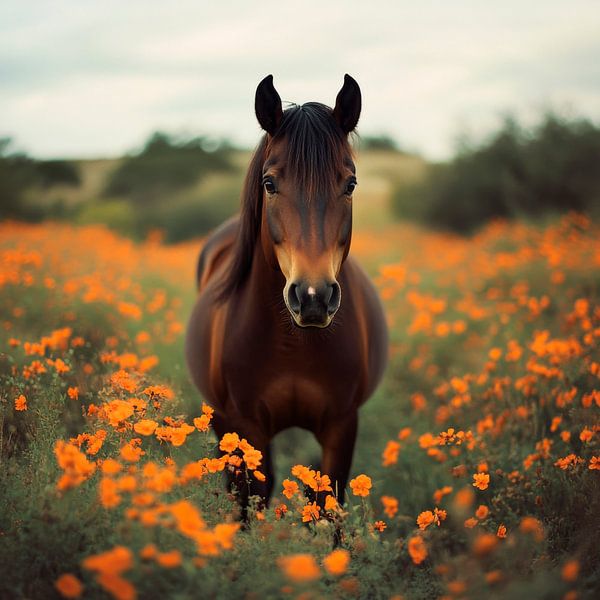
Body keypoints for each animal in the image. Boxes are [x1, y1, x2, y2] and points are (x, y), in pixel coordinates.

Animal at [185, 71, 386, 510]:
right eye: (269, 183)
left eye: (351, 184)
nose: (313, 298)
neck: (293, 344)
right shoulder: (245, 428)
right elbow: (251, 504)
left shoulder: (341, 427)